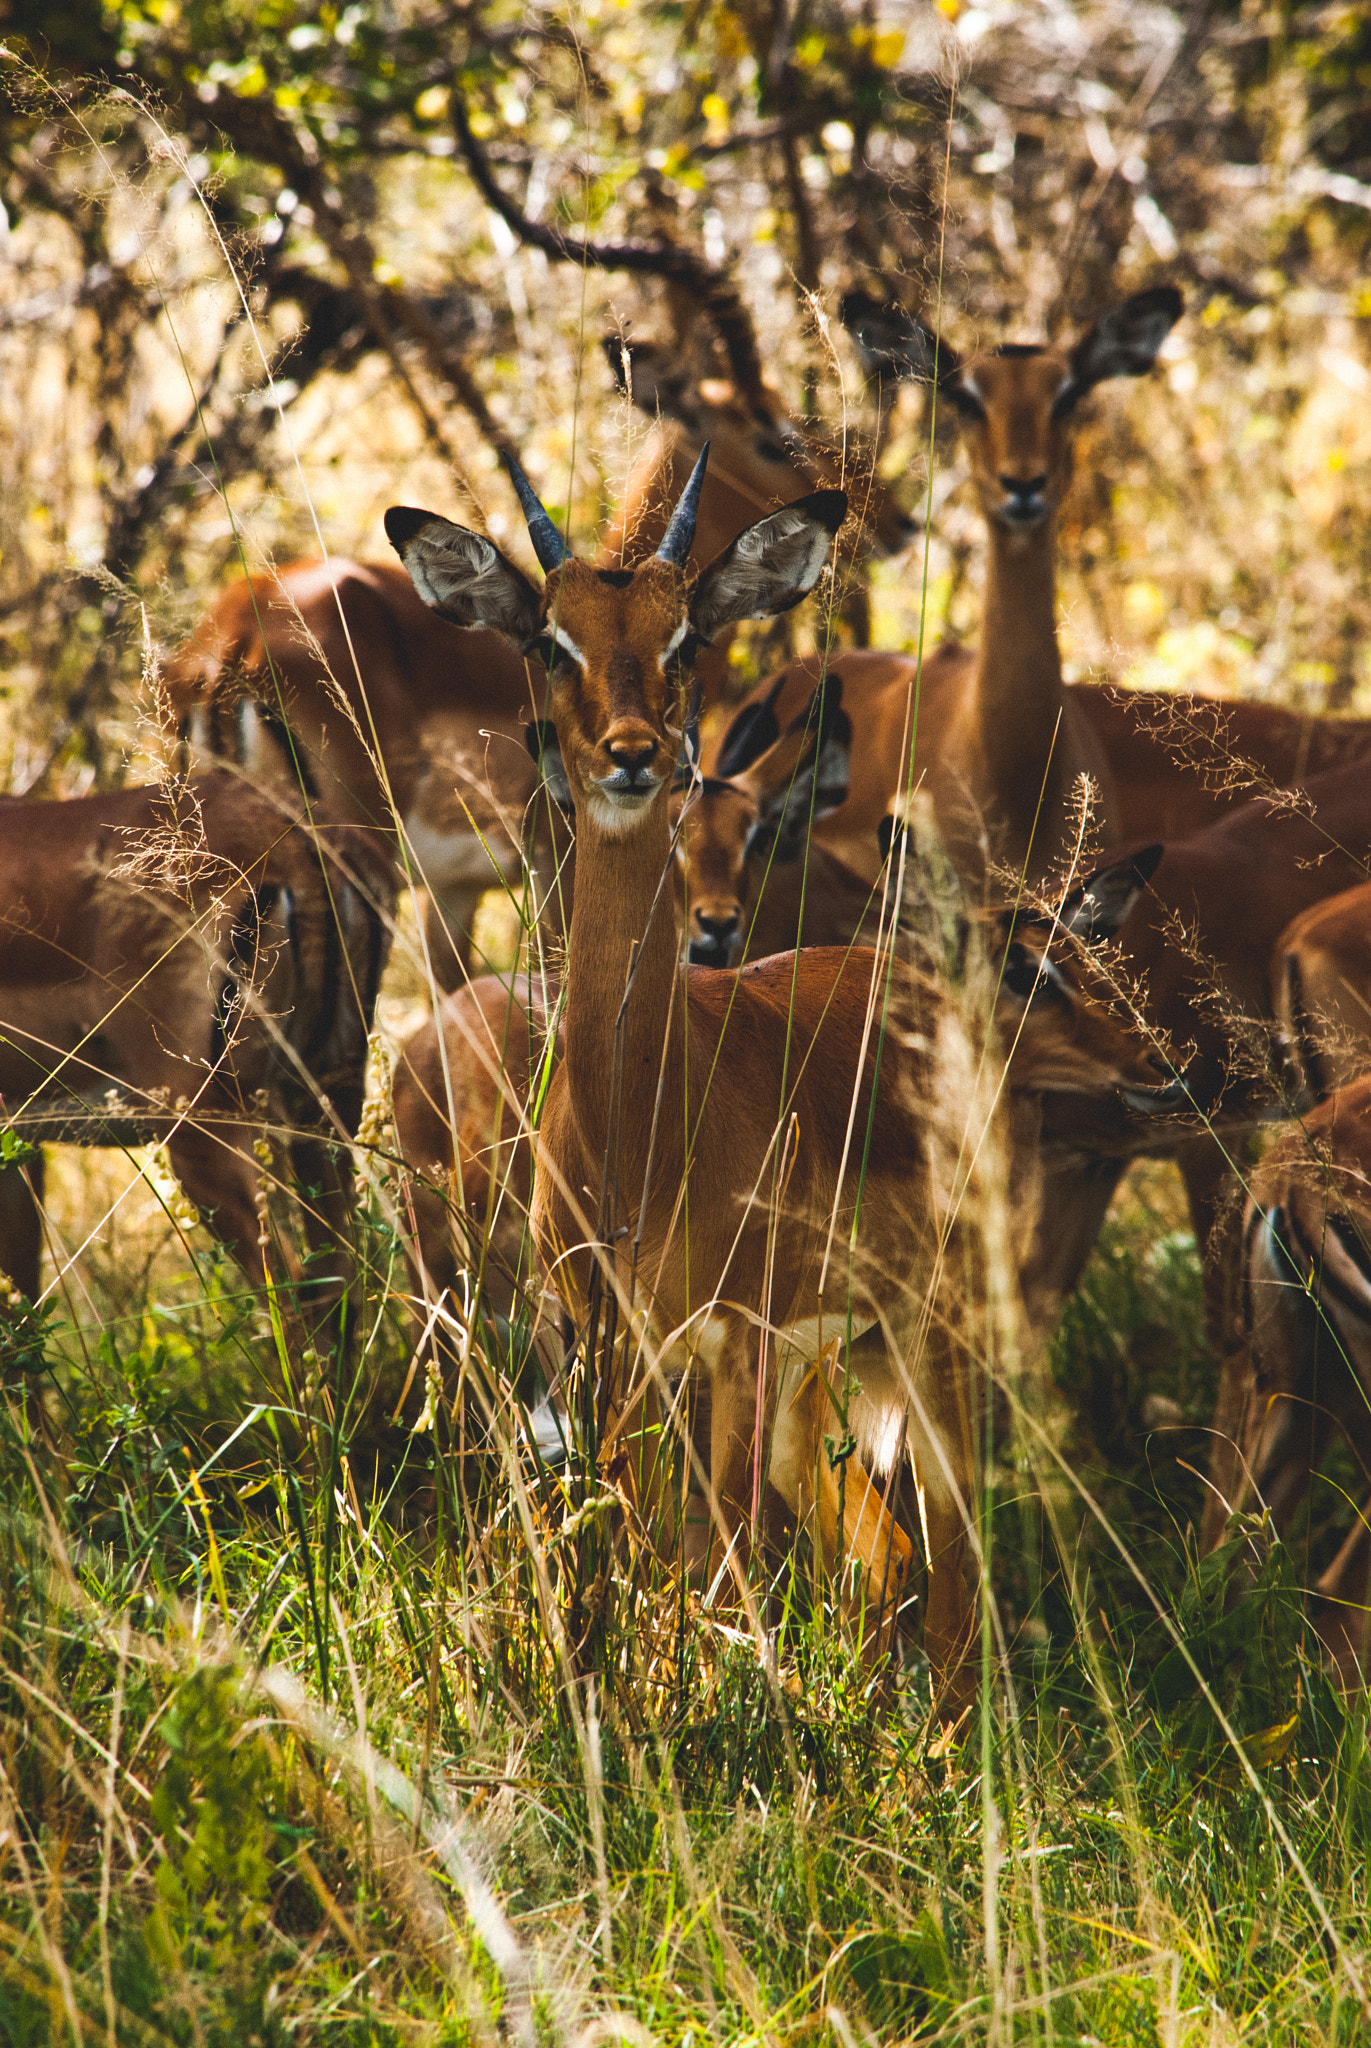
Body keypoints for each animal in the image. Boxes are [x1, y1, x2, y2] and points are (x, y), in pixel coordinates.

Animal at [384, 450, 1188, 1705]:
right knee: (886, 1547)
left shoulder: (737, 1339)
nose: (633, 753)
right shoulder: (613, 1341)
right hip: (828, 1363)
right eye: (551, 639)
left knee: (950, 1558)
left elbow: (721, 1568)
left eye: (684, 639)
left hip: (921, 1337)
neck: (641, 1123)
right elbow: (631, 1556)